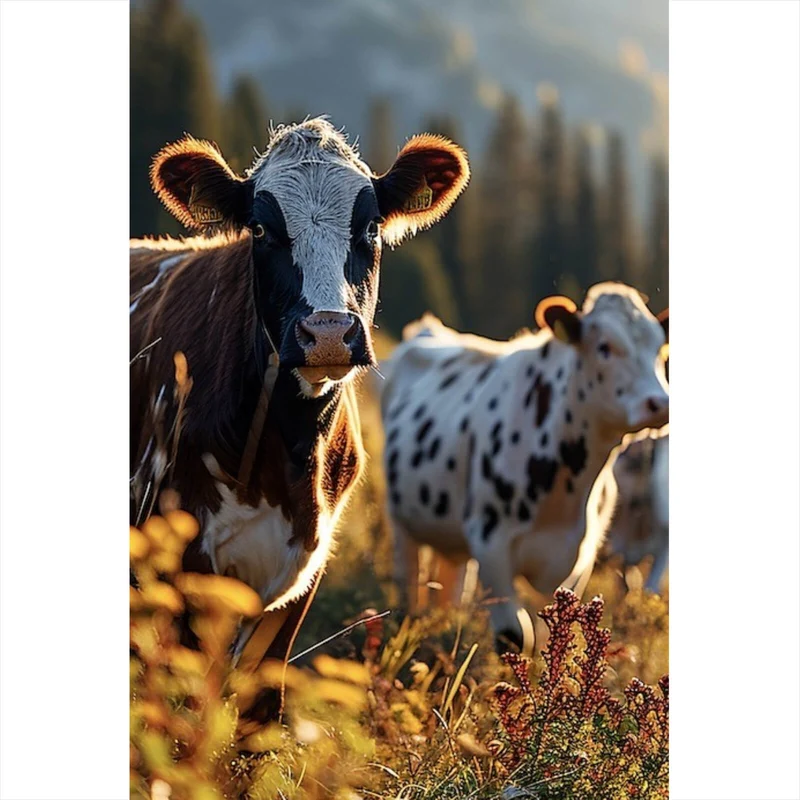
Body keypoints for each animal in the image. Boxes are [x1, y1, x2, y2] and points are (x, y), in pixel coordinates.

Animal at [130, 117, 470, 702]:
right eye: (261, 230)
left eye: (371, 226)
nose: (327, 332)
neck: (286, 448)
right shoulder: (186, 561)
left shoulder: (303, 569)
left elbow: (260, 704)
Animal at [380, 283, 669, 653]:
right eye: (605, 346)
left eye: (659, 351)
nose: (659, 403)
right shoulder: (490, 542)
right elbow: (516, 636)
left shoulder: (580, 558)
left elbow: (553, 635)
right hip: (400, 519)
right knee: (409, 577)